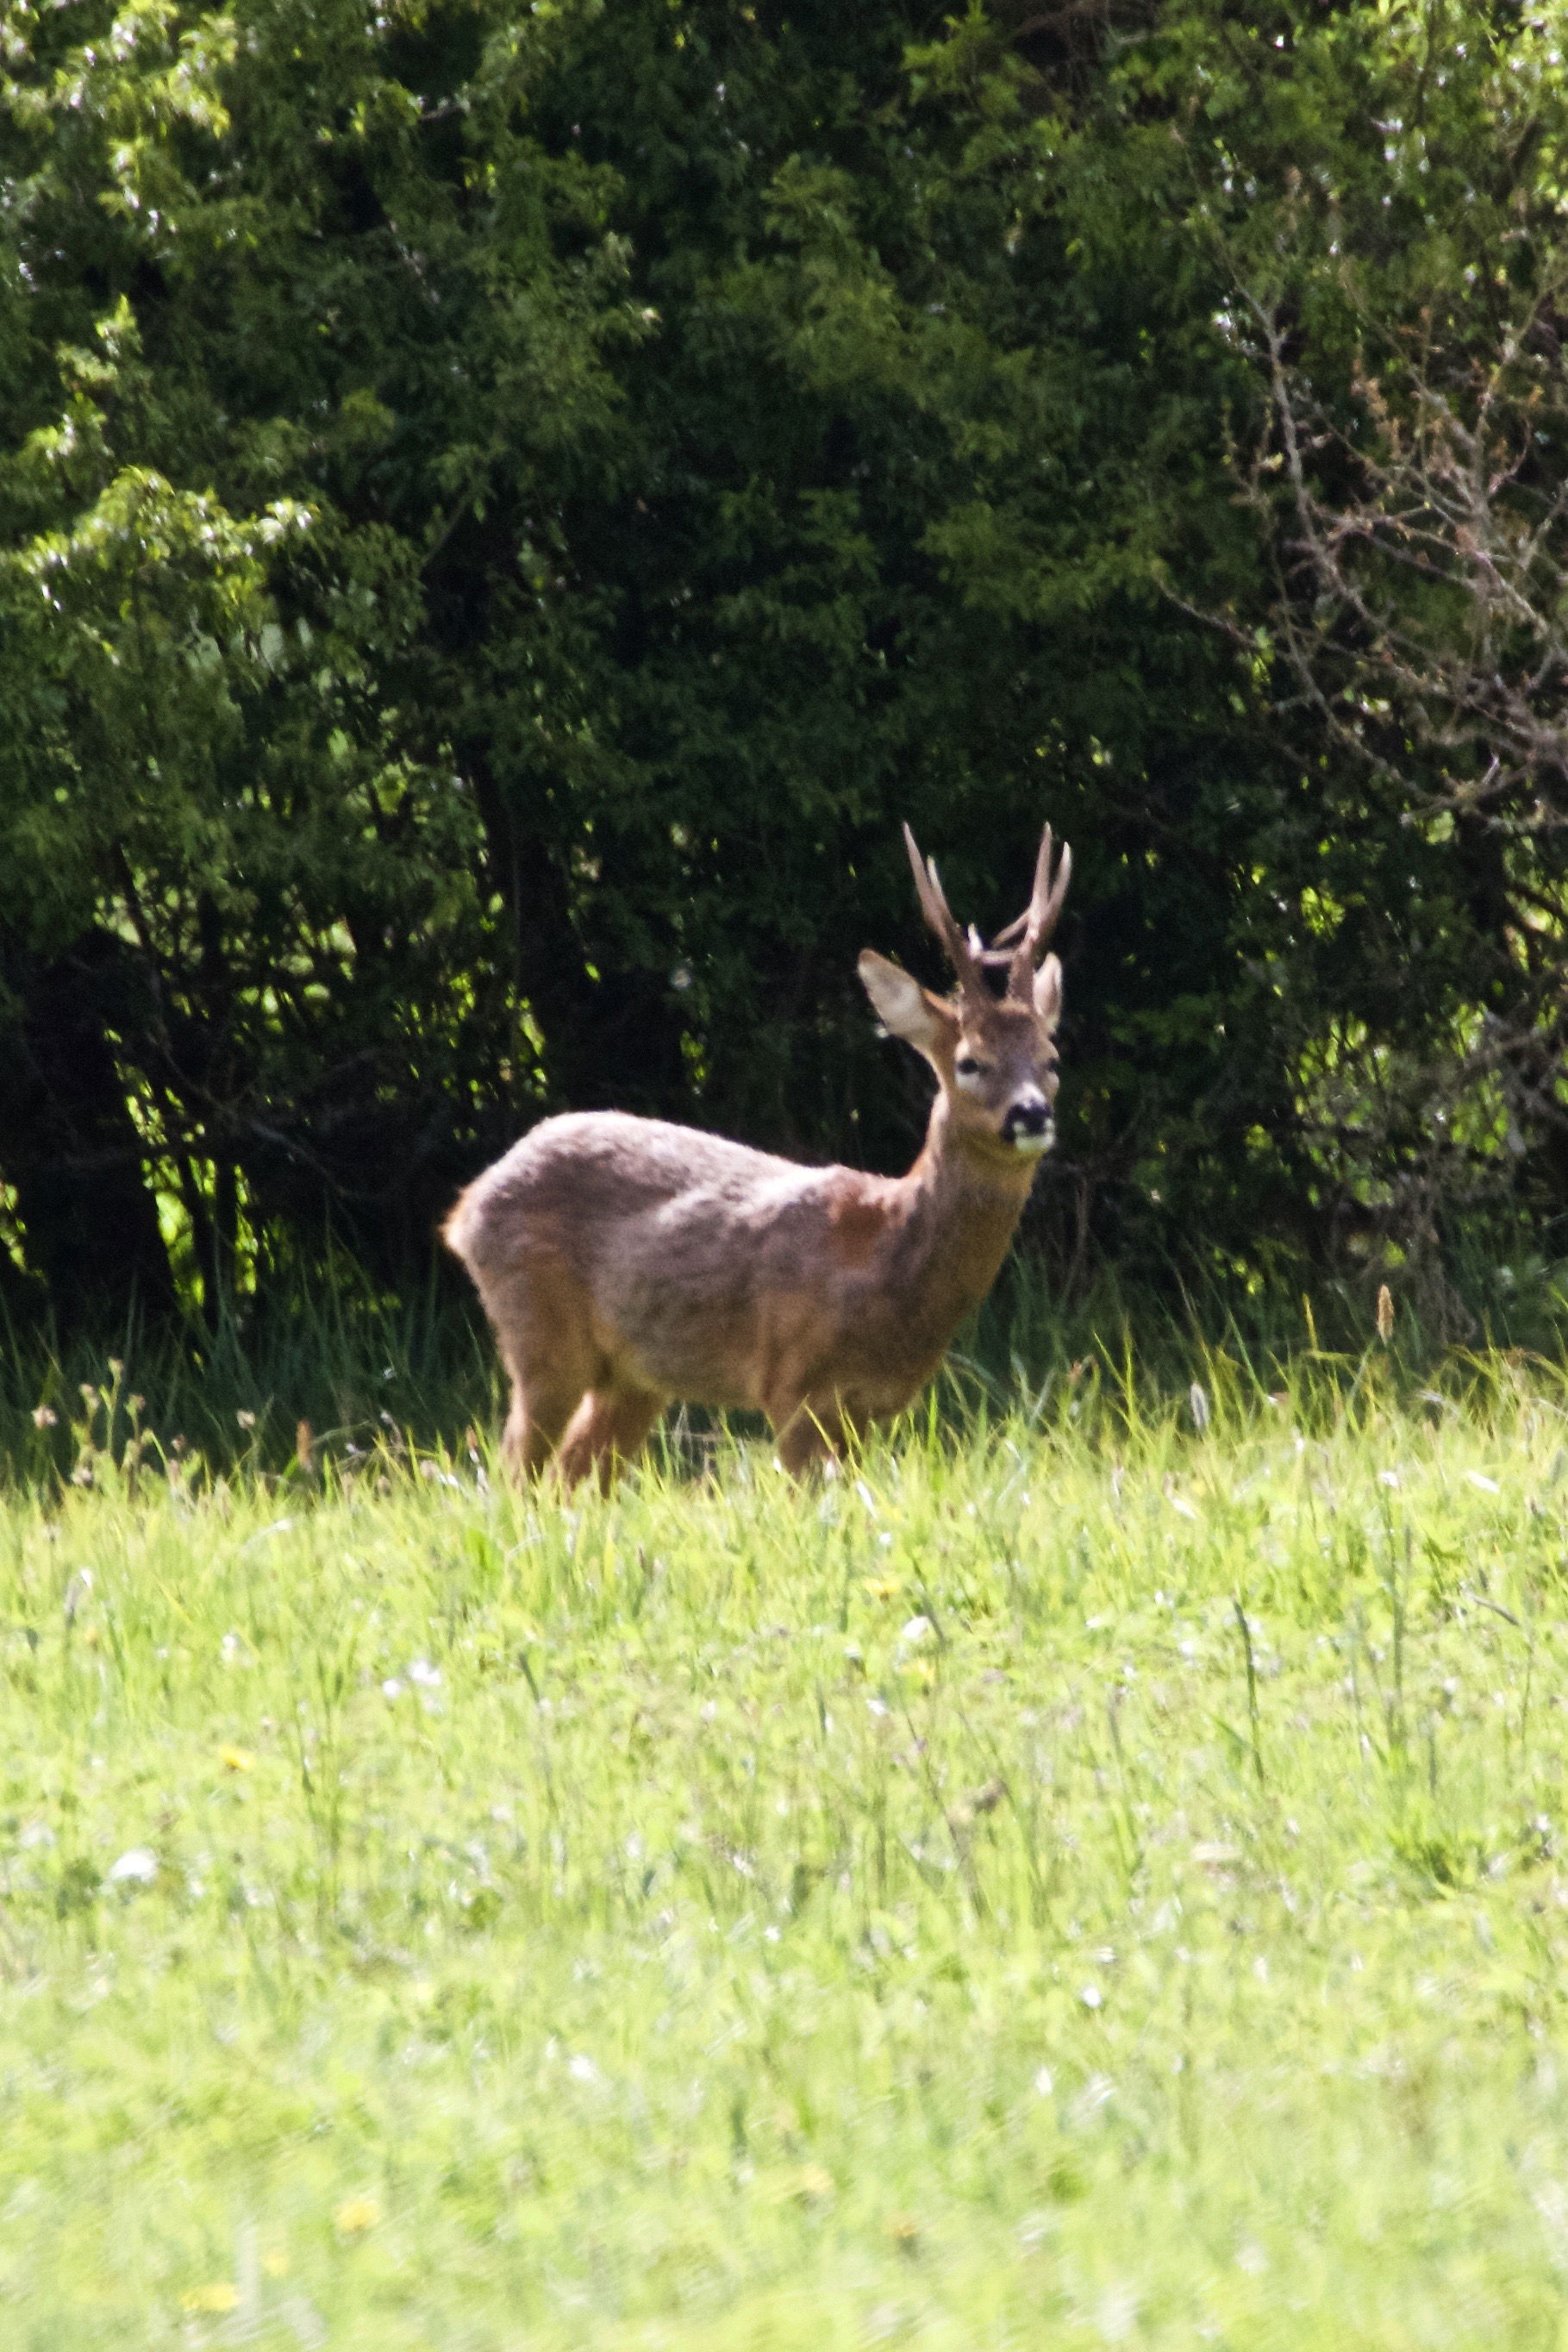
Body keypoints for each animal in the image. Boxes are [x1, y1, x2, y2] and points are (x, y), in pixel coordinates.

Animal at [447, 823, 1071, 1486]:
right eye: (970, 1062)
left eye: (1051, 1058)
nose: (1031, 1114)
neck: (884, 1258)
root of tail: (466, 1207)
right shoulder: (792, 1387)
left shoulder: (871, 1410)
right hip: (540, 1335)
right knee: (515, 1474)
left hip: (634, 1375)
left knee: (572, 1477)